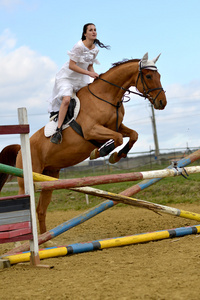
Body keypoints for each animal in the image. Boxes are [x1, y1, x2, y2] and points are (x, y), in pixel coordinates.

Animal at [0, 52, 166, 233]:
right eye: (149, 76)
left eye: (159, 75)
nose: (162, 103)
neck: (107, 96)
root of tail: (19, 149)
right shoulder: (91, 130)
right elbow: (117, 138)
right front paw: (100, 152)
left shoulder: (117, 126)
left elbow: (132, 135)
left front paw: (117, 155)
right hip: (26, 181)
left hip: (49, 177)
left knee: (41, 210)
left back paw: (46, 239)